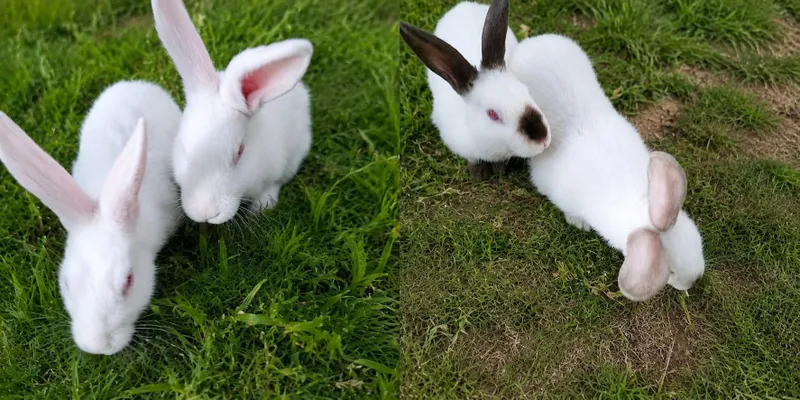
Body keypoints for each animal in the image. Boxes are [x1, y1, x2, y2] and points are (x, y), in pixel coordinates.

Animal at [151, 0, 313, 224]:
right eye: (183, 148)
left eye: (239, 152)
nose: (206, 214)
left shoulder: (276, 170)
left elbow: (272, 187)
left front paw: (262, 208)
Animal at [400, 0, 550, 181]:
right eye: (492, 114)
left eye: (526, 90)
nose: (542, 139)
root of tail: (465, 4)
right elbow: (474, 159)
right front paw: (478, 173)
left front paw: (499, 169)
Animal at [508, 34, 705, 301]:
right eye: (671, 272)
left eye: (696, 238)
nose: (696, 279)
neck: (633, 204)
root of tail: (534, 41)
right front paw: (580, 225)